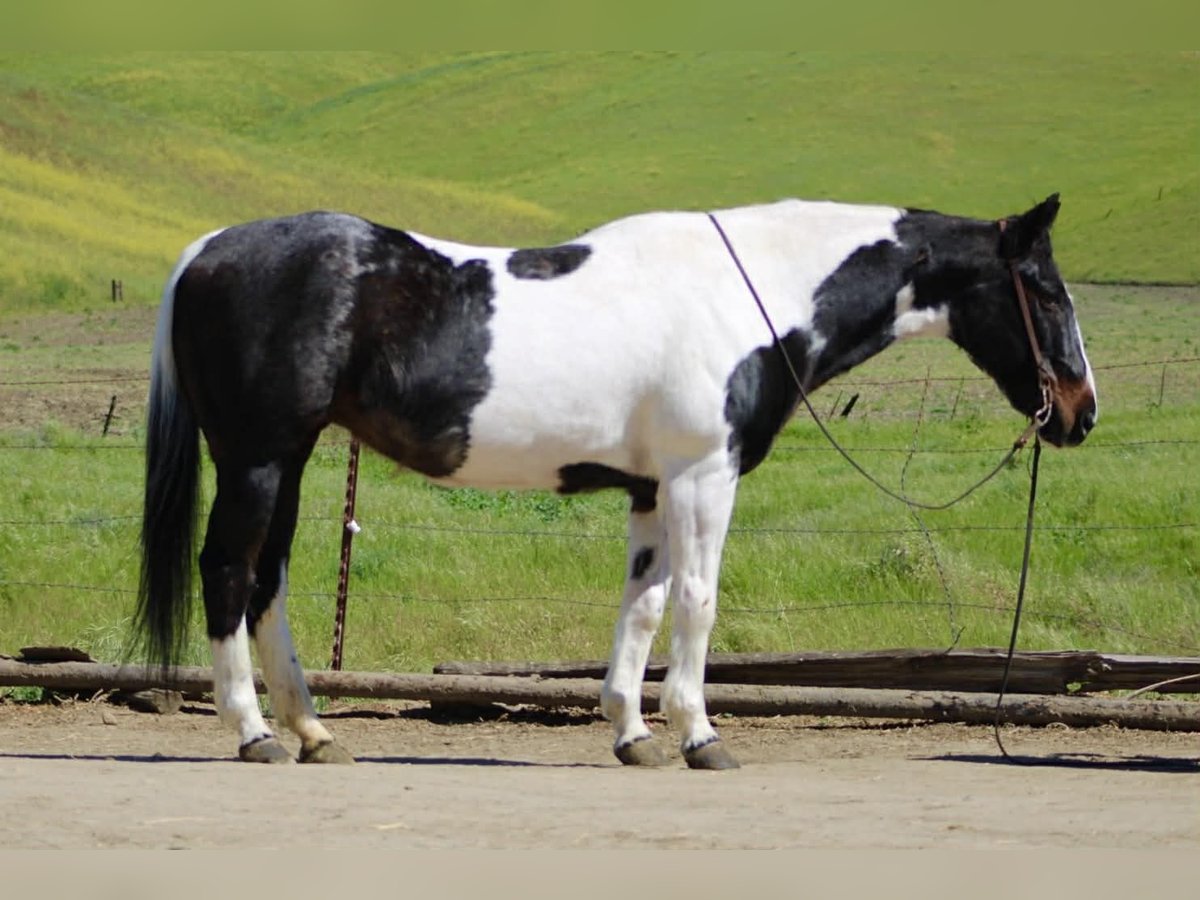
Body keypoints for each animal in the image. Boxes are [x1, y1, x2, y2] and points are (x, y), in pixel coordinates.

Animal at [137, 193, 1097, 768]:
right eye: (1047, 291)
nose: (1081, 412)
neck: (751, 290)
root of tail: (207, 249)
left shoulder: (651, 488)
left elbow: (644, 604)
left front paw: (634, 732)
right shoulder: (704, 476)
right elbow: (699, 601)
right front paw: (700, 734)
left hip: (292, 457)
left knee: (268, 581)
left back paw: (311, 728)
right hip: (258, 457)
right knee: (228, 573)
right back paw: (253, 732)